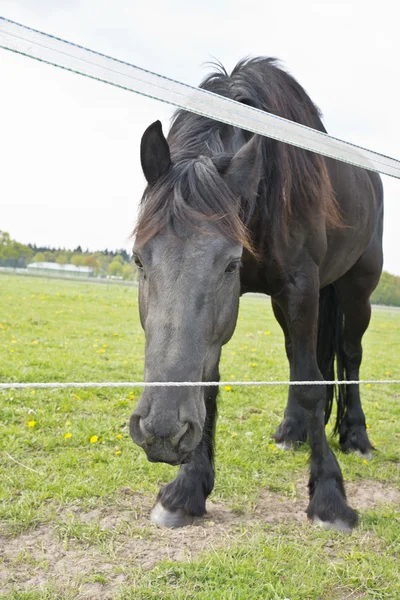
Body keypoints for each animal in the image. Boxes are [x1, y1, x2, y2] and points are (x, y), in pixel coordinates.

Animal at [130, 58, 382, 532]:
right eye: (137, 258)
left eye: (230, 263)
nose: (163, 432)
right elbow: (211, 383)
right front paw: (187, 490)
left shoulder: (301, 285)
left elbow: (313, 385)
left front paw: (329, 497)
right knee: (298, 357)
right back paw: (292, 432)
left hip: (358, 288)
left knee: (349, 354)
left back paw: (356, 436)